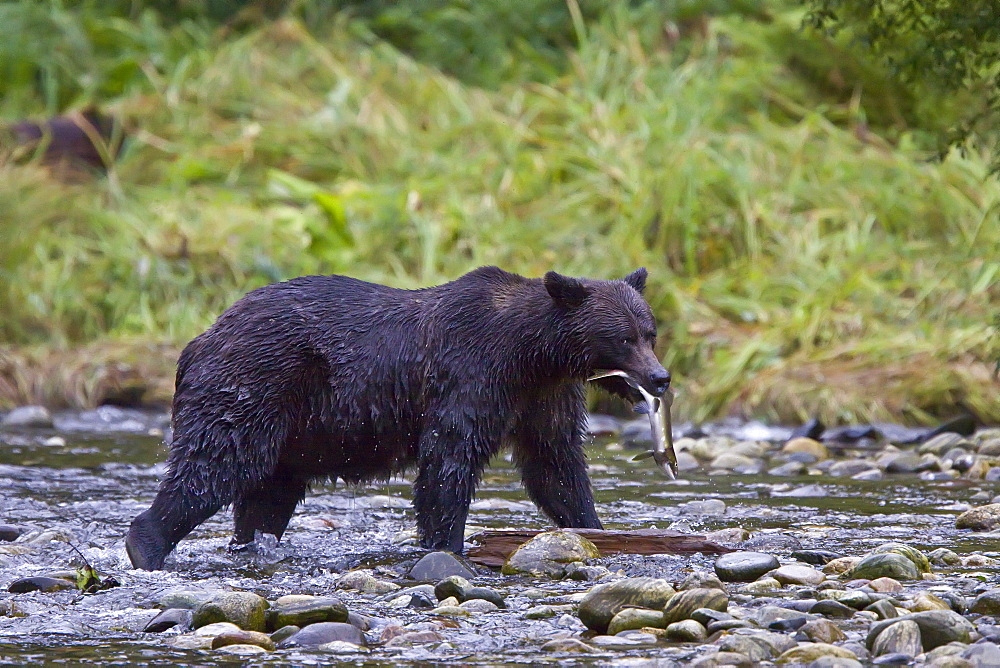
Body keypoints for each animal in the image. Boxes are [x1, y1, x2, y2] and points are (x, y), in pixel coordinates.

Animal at [127, 266, 672, 568]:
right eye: (624, 336)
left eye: (650, 331)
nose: (661, 377)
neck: (531, 355)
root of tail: (200, 338)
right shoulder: (469, 376)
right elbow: (448, 463)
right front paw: (446, 547)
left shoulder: (542, 398)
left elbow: (555, 466)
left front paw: (596, 529)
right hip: (254, 381)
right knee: (216, 463)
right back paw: (147, 542)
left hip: (291, 430)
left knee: (266, 495)